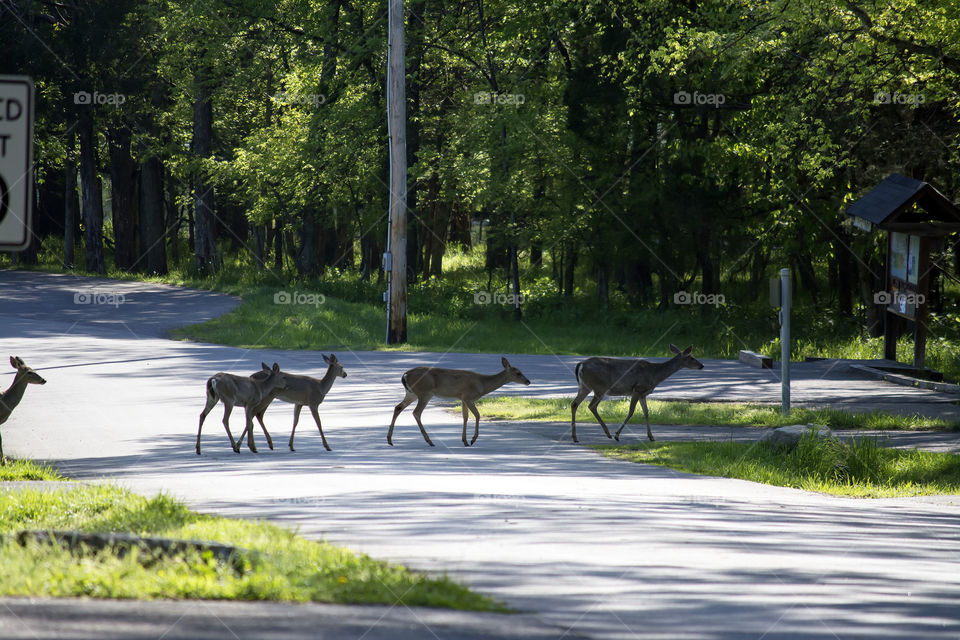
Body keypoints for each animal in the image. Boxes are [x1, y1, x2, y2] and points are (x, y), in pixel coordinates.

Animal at [388, 357, 531, 447]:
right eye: (518, 373)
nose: (528, 381)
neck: (482, 384)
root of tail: (405, 375)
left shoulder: (462, 398)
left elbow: (465, 417)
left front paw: (465, 441)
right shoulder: (468, 396)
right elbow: (477, 415)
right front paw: (472, 440)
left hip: (412, 393)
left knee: (398, 407)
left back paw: (390, 440)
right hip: (425, 393)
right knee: (416, 412)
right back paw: (430, 441)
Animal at [571, 344, 704, 443]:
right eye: (691, 357)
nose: (702, 365)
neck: (654, 374)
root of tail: (580, 364)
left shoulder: (643, 393)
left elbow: (646, 412)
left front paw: (651, 437)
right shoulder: (637, 389)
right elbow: (631, 411)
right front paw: (617, 435)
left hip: (584, 386)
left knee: (574, 404)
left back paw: (575, 437)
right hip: (599, 387)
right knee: (591, 406)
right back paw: (608, 433)